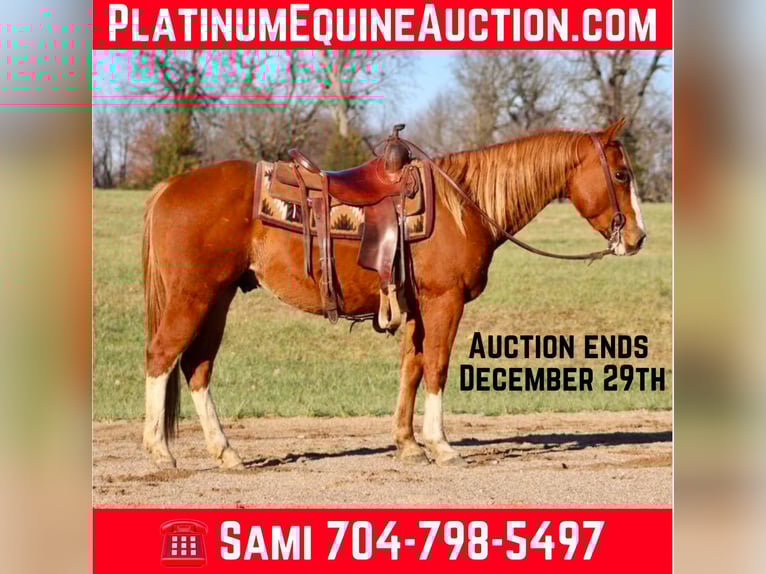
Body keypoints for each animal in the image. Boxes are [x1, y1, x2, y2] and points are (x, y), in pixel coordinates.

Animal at [141, 118, 646, 469]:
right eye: (621, 175)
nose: (638, 237)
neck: (463, 205)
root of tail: (171, 185)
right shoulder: (445, 302)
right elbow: (437, 367)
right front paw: (441, 445)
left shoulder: (419, 308)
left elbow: (412, 368)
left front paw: (407, 443)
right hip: (194, 297)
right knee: (162, 357)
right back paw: (160, 451)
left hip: (218, 298)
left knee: (196, 367)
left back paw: (225, 452)